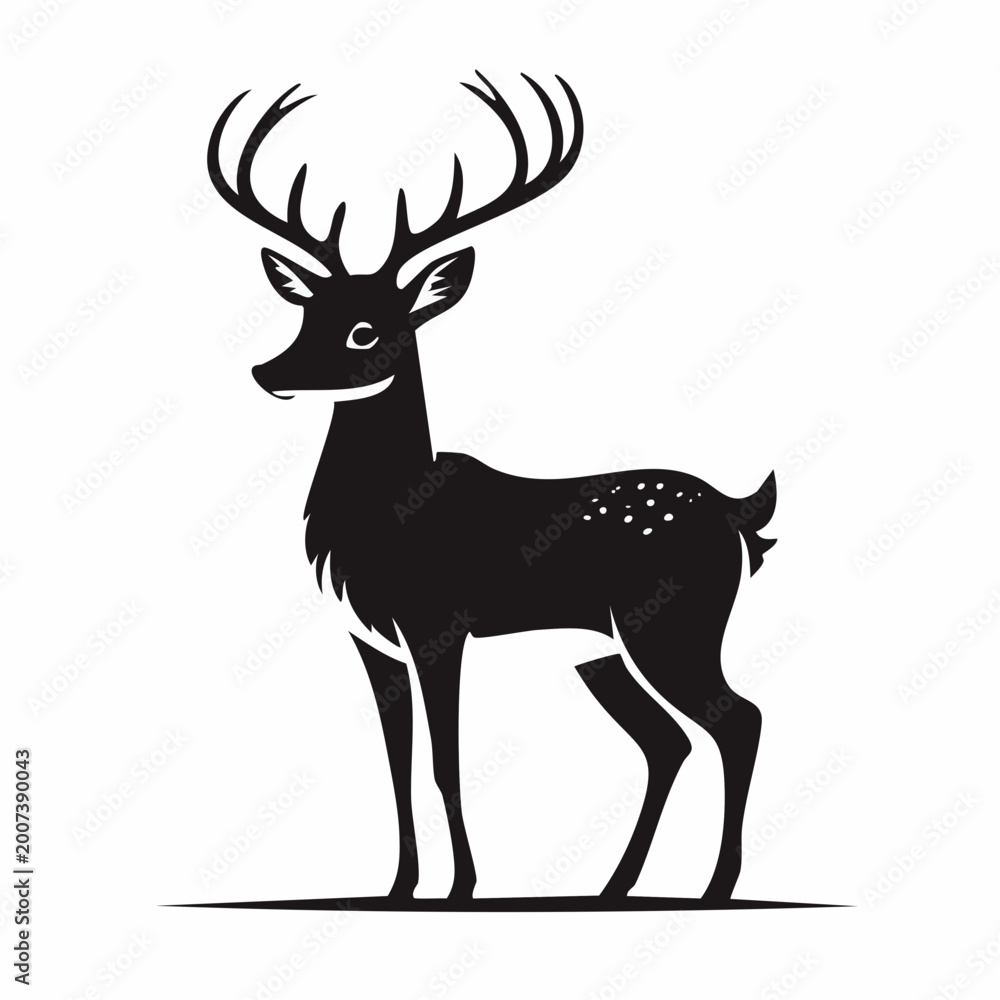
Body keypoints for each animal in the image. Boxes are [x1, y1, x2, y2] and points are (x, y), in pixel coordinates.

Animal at [208, 72, 777, 904]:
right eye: (307, 312)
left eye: (366, 330)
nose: (266, 371)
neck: (388, 518)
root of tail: (739, 514)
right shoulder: (369, 639)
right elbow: (397, 764)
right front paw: (399, 887)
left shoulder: (437, 623)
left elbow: (445, 762)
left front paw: (462, 887)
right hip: (600, 651)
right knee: (667, 741)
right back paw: (613, 886)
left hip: (675, 623)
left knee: (738, 718)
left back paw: (715, 886)